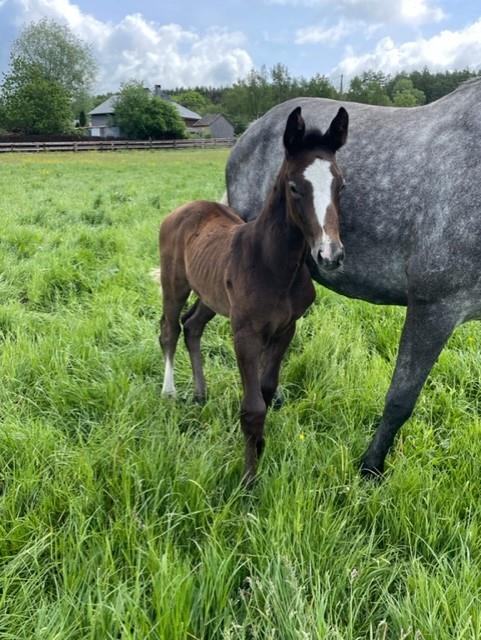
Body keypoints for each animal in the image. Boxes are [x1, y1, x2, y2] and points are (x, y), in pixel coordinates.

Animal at [159, 105, 346, 482]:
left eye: (341, 185)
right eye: (294, 187)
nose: (330, 255)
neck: (274, 264)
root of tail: (183, 209)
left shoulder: (286, 327)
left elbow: (267, 389)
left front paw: (260, 448)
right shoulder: (244, 332)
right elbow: (253, 406)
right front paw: (248, 479)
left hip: (211, 294)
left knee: (192, 325)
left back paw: (200, 393)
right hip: (175, 284)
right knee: (169, 329)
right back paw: (169, 392)